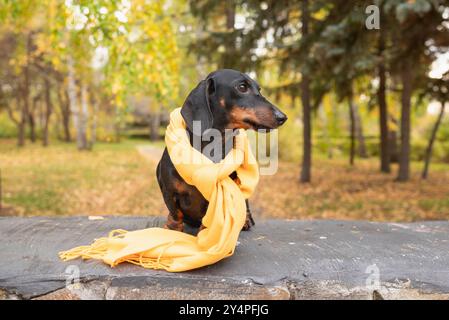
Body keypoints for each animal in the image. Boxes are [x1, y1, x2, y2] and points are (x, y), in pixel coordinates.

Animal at [156, 69, 286, 232]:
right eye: (242, 87)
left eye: (259, 89)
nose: (282, 117)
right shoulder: (168, 191)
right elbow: (175, 212)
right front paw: (172, 228)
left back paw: (245, 220)